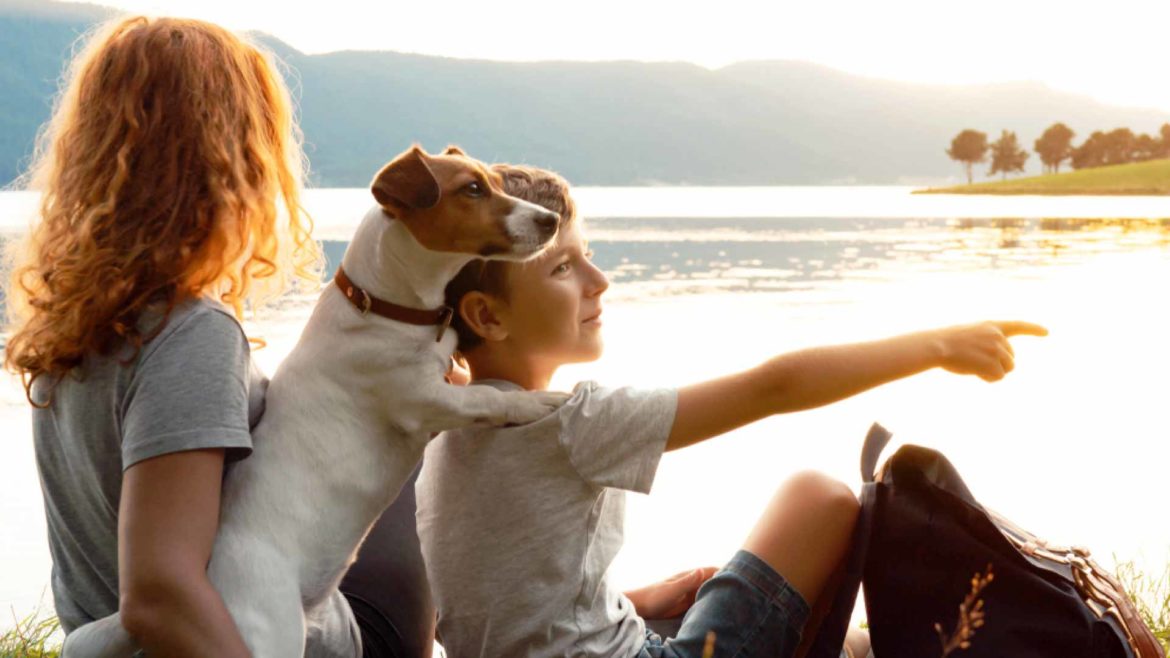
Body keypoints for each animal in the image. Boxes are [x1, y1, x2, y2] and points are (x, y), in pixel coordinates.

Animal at [64, 144, 566, 655]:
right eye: (472, 189)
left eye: (496, 184)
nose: (551, 219)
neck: (384, 305)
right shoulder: (422, 400)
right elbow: (486, 398)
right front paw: (538, 403)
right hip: (270, 633)